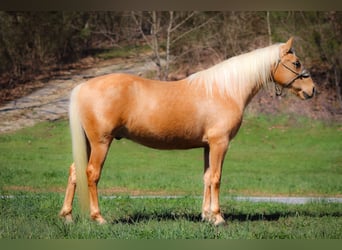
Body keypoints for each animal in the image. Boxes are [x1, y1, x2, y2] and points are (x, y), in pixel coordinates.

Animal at [59, 37, 316, 227]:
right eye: (296, 63)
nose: (312, 90)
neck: (225, 90)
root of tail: (83, 86)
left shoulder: (207, 145)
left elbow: (207, 177)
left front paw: (206, 216)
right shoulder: (220, 143)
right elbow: (216, 177)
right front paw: (218, 218)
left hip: (88, 142)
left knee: (74, 172)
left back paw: (67, 216)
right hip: (101, 142)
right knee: (91, 173)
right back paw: (98, 218)